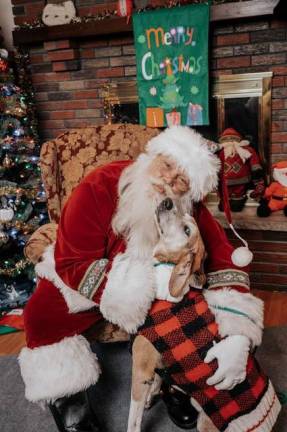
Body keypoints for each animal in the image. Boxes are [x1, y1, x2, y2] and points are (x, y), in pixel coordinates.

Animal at [127, 198, 206, 432]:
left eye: (187, 230)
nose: (168, 201)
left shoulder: (140, 371)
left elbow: (132, 419)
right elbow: (157, 381)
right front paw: (152, 396)